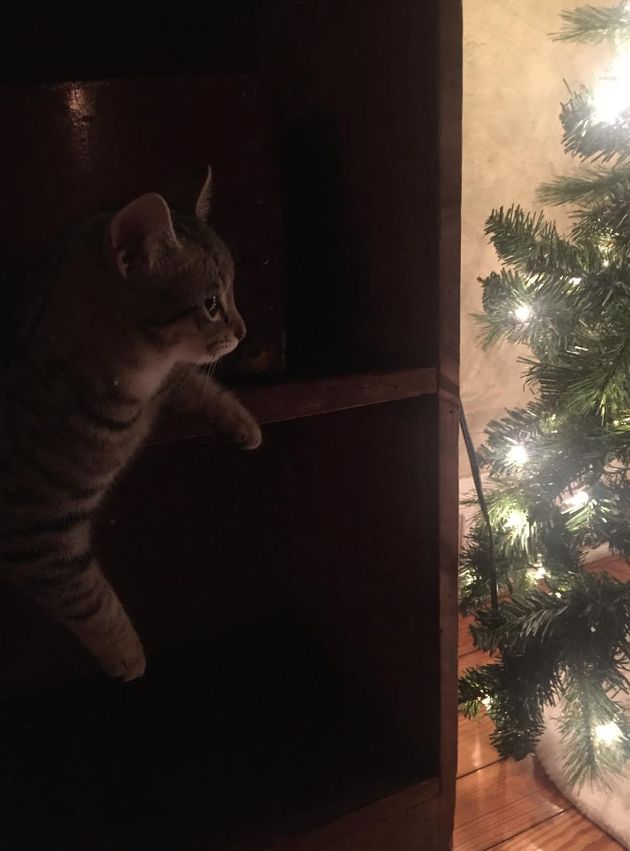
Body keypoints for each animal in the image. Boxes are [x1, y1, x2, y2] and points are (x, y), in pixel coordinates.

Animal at [0, 170, 262, 684]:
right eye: (211, 303)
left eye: (233, 292)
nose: (244, 332)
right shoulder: (34, 532)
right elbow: (84, 595)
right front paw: (128, 653)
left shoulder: (168, 379)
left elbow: (193, 381)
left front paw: (241, 420)